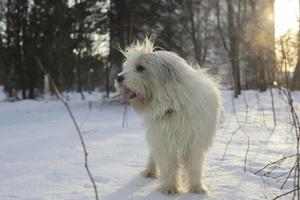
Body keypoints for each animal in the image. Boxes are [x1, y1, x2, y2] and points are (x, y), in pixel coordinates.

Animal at [115, 38, 223, 195]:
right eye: (127, 66)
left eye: (140, 68)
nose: (118, 77)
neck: (173, 106)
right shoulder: (164, 140)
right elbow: (168, 165)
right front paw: (170, 188)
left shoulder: (195, 141)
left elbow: (195, 166)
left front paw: (196, 187)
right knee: (153, 153)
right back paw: (150, 170)